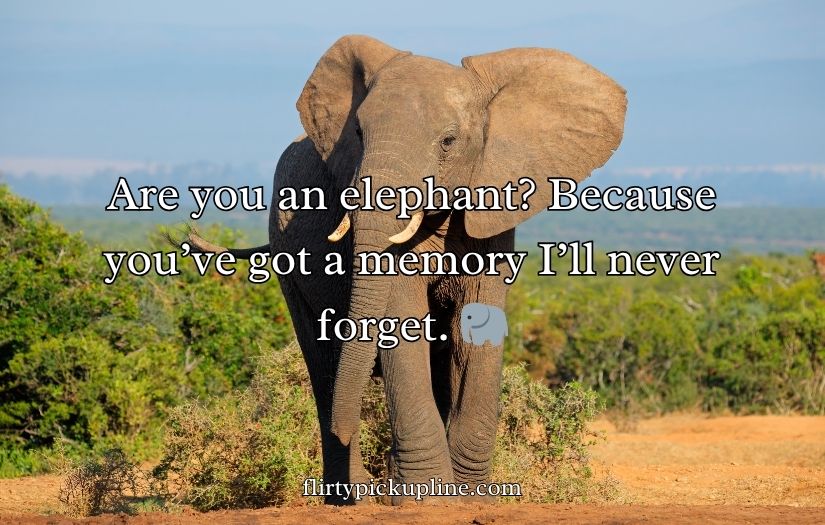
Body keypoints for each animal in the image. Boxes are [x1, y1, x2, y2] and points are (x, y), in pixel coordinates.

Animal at [182, 35, 626, 504]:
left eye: (449, 141)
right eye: (358, 133)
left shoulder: (494, 207)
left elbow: (477, 325)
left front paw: (472, 496)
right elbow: (401, 320)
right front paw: (426, 496)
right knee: (323, 361)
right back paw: (351, 494)